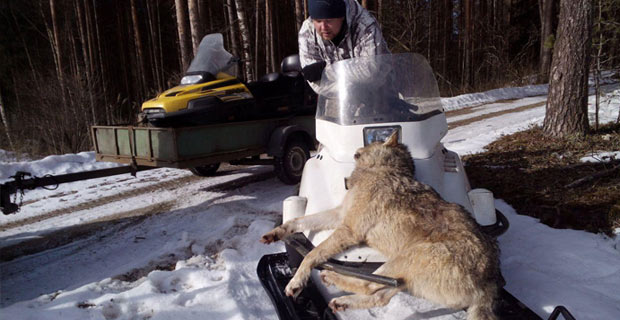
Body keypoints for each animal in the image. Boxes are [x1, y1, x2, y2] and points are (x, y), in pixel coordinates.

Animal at [260, 132, 502, 320]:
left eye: (372, 141)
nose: (356, 146)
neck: (381, 169)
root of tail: (491, 281)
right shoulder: (339, 215)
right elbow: (297, 221)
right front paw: (275, 233)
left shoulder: (348, 230)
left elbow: (311, 255)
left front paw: (296, 283)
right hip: (404, 274)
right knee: (379, 296)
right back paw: (342, 302)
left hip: (404, 259)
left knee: (369, 285)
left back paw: (332, 279)